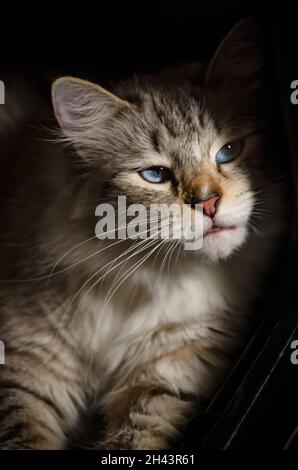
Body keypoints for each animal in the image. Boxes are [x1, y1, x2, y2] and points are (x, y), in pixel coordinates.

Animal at [0, 18, 286, 450]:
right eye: (155, 175)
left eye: (229, 151)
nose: (208, 203)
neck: (147, 284)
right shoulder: (29, 364)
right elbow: (24, 437)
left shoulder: (167, 376)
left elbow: (136, 440)